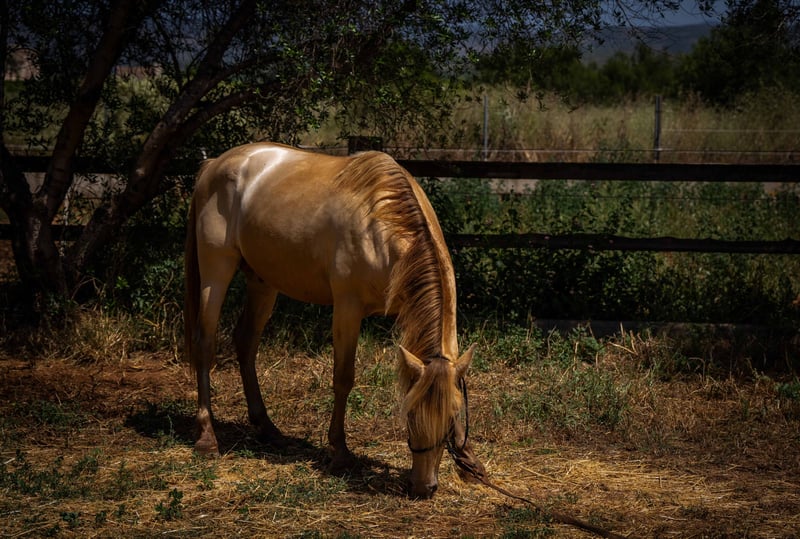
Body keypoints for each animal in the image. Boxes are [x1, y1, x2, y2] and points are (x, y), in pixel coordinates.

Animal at [184, 142, 479, 498]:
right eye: (409, 414)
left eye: (450, 418)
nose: (424, 487)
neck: (383, 226)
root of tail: (215, 164)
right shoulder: (347, 308)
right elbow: (343, 378)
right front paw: (339, 451)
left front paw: (468, 461)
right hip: (216, 270)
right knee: (205, 344)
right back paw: (207, 436)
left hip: (262, 282)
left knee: (245, 342)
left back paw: (267, 428)